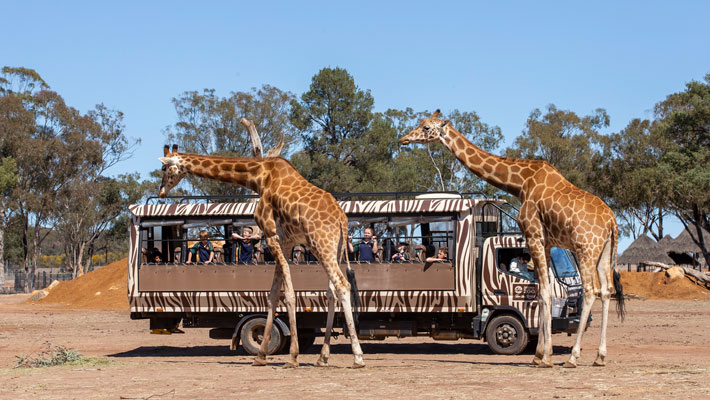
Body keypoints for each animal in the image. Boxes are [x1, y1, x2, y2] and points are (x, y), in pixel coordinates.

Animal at [158, 144, 364, 368]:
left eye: (164, 169)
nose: (161, 192)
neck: (259, 177)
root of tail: (342, 220)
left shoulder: (271, 233)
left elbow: (288, 293)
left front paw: (292, 356)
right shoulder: (286, 240)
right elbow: (273, 294)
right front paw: (261, 355)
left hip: (321, 243)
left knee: (342, 284)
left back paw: (358, 356)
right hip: (334, 249)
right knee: (331, 291)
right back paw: (323, 357)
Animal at [400, 111, 628, 368]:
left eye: (426, 127)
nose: (403, 139)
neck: (520, 183)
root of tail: (612, 221)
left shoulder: (533, 234)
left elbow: (544, 292)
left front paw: (543, 357)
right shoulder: (546, 242)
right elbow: (544, 291)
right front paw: (541, 354)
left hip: (585, 248)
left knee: (590, 290)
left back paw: (573, 357)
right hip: (604, 250)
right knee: (607, 290)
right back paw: (600, 356)